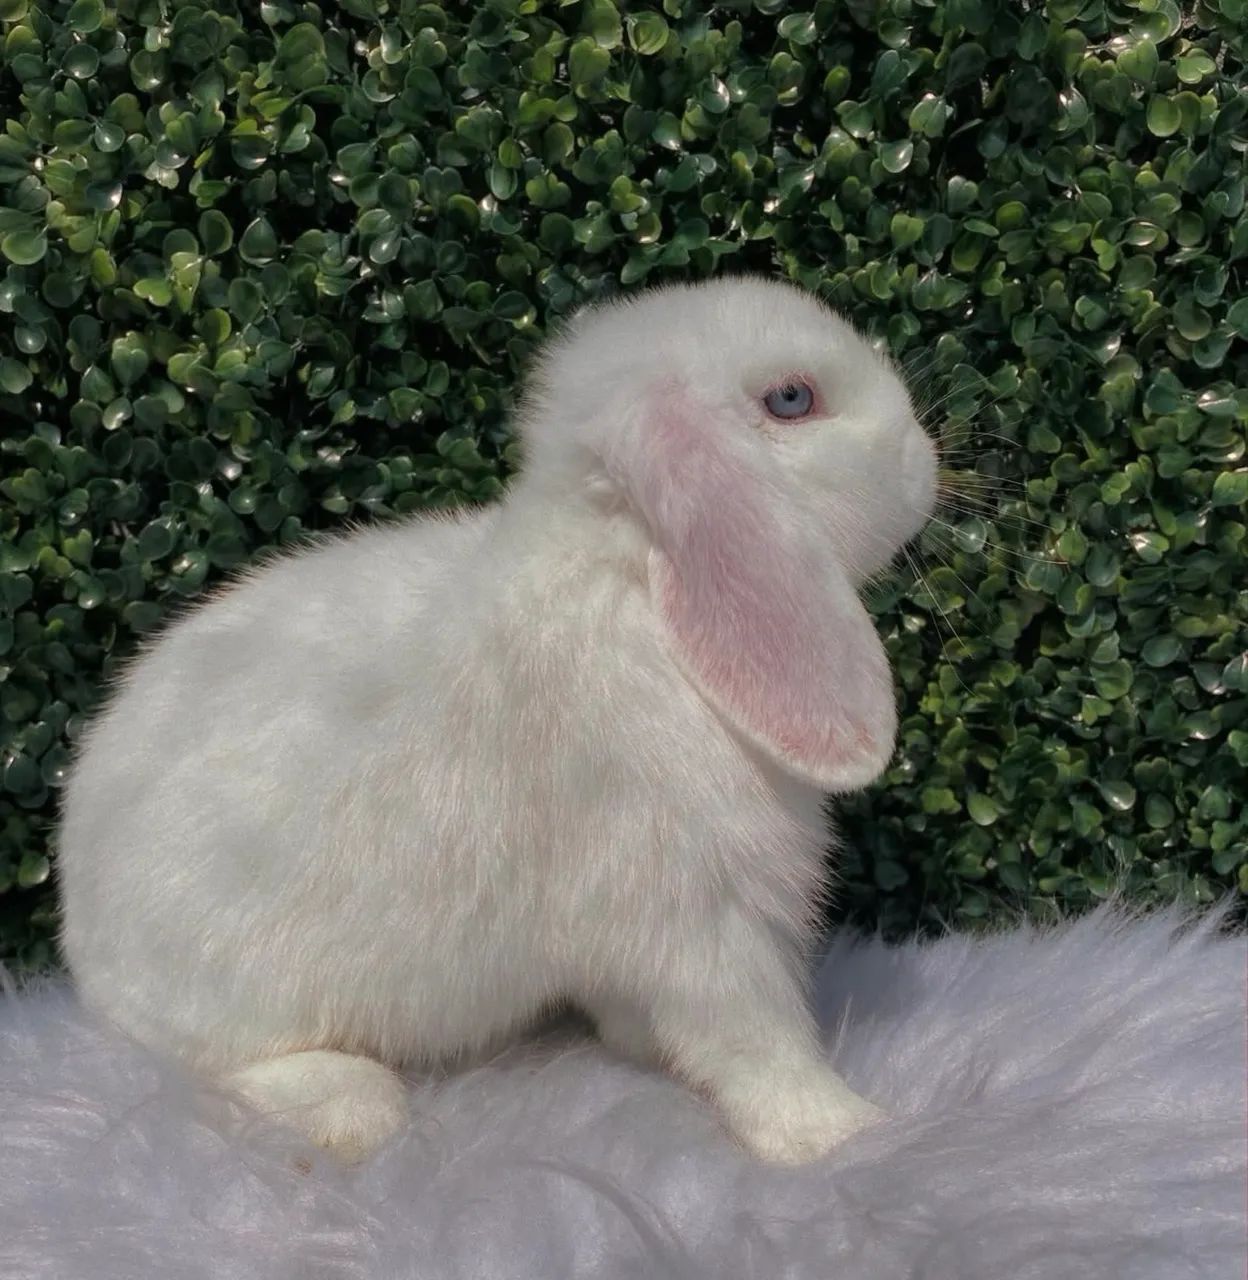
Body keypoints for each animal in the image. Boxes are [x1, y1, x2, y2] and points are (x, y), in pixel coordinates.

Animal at [57, 275, 938, 1166]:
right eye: (792, 399)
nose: (924, 454)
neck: (630, 587)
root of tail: (85, 954)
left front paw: (649, 1052)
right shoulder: (702, 916)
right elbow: (757, 1039)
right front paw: (845, 1132)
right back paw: (355, 1104)